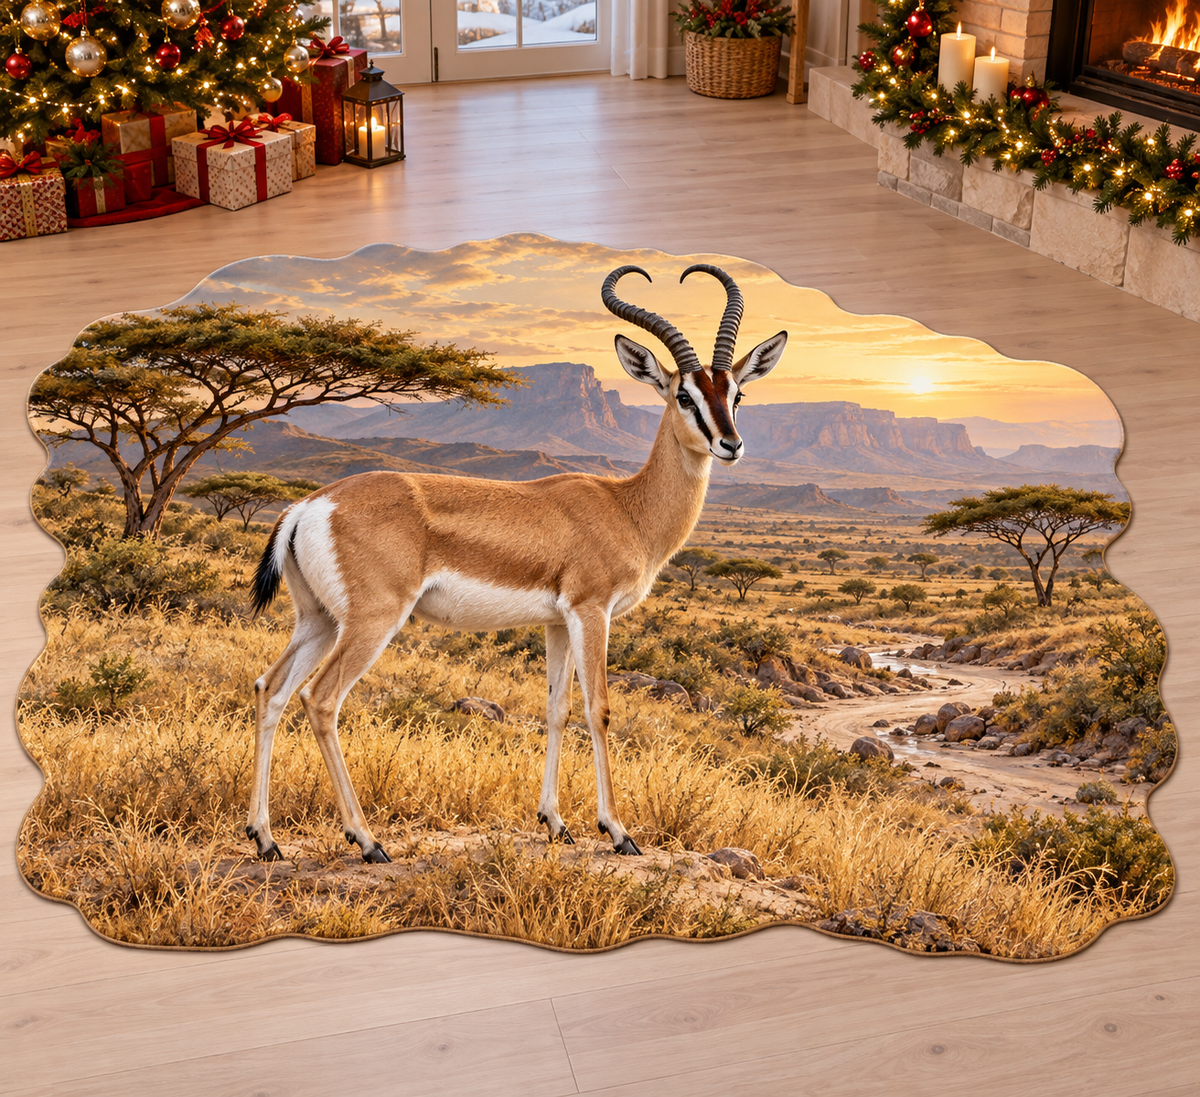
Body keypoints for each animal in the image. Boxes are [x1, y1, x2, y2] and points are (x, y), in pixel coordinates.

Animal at [246, 264, 787, 863]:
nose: (730, 444)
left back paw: (265, 838)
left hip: (318, 620)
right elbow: (599, 708)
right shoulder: (591, 611)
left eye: (736, 392)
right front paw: (618, 831)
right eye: (684, 395)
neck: (625, 508)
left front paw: (555, 822)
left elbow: (556, 709)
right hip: (372, 621)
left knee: (270, 689)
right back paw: (367, 841)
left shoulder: (557, 622)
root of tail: (310, 505)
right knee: (321, 700)